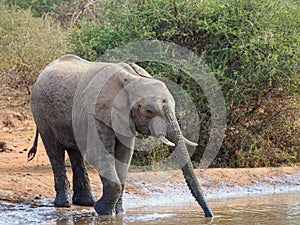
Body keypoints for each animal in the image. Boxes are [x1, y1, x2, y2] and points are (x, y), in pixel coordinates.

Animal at [27, 53, 212, 217]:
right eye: (149, 111)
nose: (208, 215)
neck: (132, 79)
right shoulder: (96, 114)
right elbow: (98, 154)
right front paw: (102, 211)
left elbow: (124, 156)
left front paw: (119, 213)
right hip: (40, 110)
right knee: (55, 151)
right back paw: (64, 204)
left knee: (75, 152)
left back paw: (85, 202)